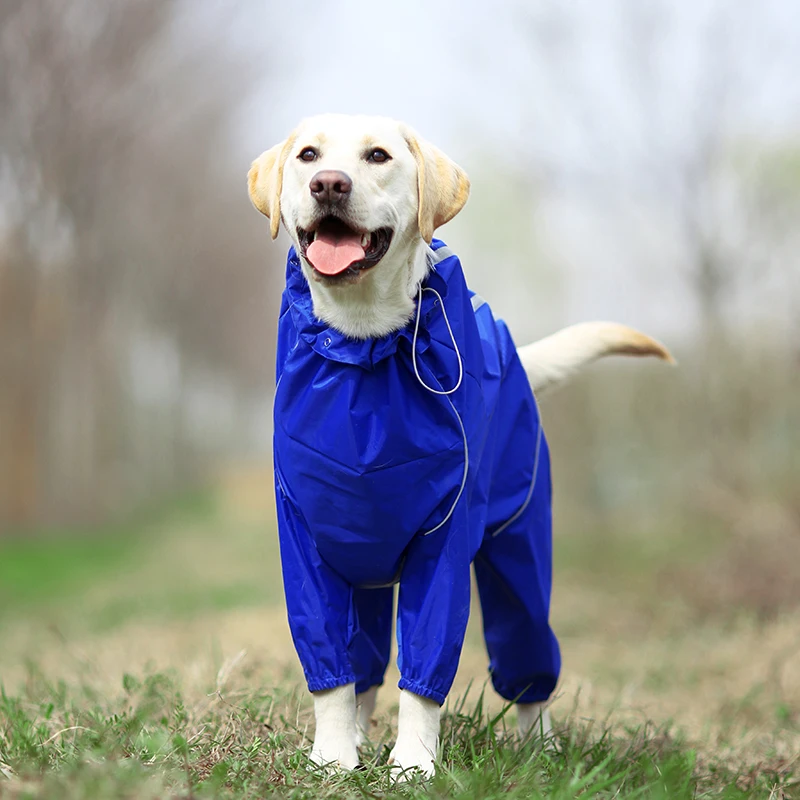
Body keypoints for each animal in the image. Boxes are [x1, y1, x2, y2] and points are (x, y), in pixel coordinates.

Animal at [247, 115, 672, 780]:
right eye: (308, 155)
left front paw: (412, 765)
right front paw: (334, 759)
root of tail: (513, 350)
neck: (364, 348)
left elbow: (424, 673)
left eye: (378, 156)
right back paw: (361, 737)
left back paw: (541, 749)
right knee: (365, 666)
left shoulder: (442, 544)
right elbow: (333, 674)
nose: (329, 183)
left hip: (519, 548)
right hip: (366, 571)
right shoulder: (310, 543)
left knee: (529, 661)